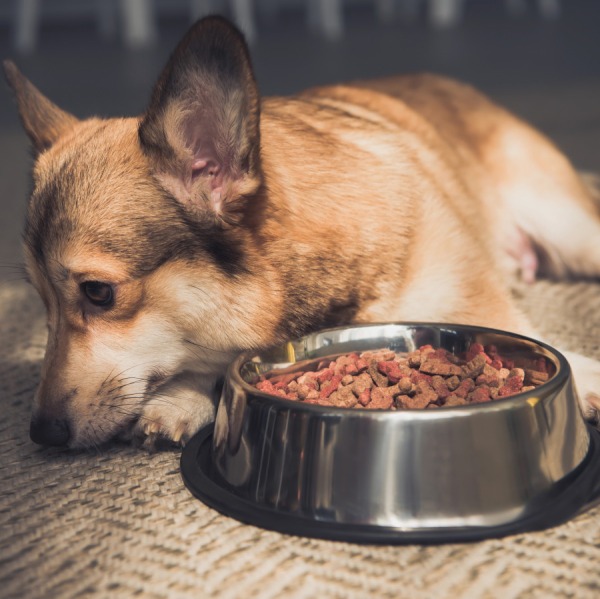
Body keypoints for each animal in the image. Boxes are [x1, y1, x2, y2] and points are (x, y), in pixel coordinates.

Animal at [4, 15, 600, 450]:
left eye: (98, 293)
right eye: (41, 301)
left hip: (573, 232)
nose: (41, 434)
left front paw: (585, 377)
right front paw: (182, 398)